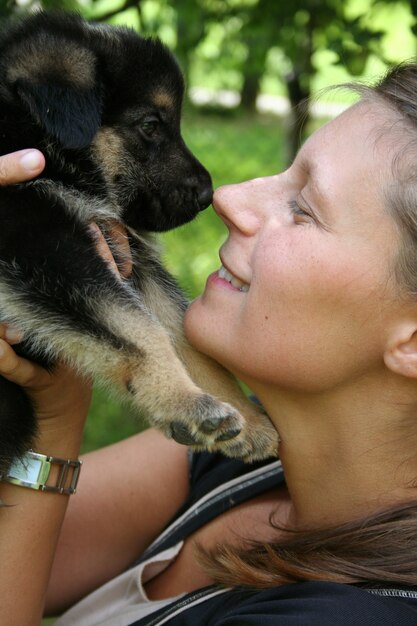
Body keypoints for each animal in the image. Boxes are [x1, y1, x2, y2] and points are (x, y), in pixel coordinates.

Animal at [0, 9, 280, 470]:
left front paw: (248, 419)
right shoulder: (37, 240)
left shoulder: (130, 256)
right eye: (151, 125)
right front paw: (183, 401)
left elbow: (183, 335)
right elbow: (135, 326)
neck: (32, 136)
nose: (208, 195)